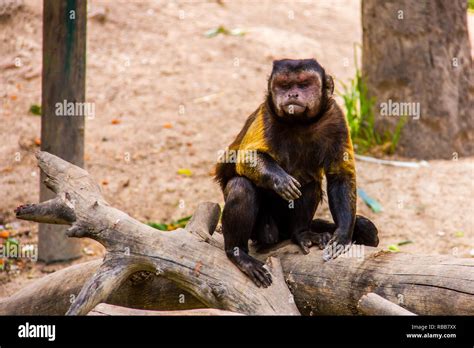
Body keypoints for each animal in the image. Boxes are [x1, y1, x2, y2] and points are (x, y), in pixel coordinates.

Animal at [215, 59, 378, 288]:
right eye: (284, 85)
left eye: (303, 84)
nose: (292, 94)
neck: (300, 122)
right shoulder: (266, 115)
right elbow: (246, 158)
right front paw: (280, 179)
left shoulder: (335, 117)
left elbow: (340, 176)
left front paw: (342, 235)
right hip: (262, 229)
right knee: (241, 187)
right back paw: (237, 254)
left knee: (308, 183)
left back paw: (301, 234)